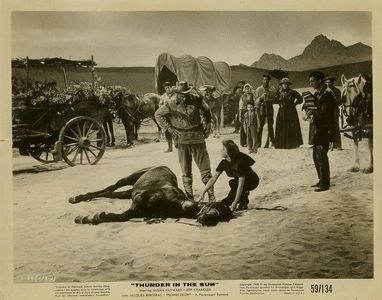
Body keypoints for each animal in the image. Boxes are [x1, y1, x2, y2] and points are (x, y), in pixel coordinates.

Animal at [70, 165, 234, 226]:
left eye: (222, 217)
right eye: (216, 206)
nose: (208, 220)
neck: (178, 203)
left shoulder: (140, 208)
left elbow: (122, 216)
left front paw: (89, 218)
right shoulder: (139, 199)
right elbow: (123, 215)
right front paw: (90, 217)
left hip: (128, 193)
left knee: (110, 193)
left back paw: (80, 198)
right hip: (130, 178)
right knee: (112, 187)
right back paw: (77, 198)